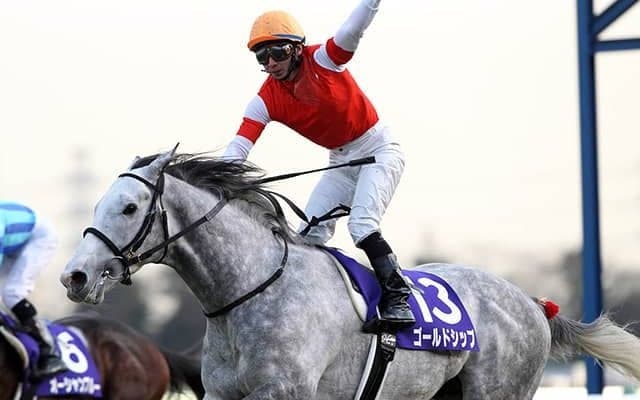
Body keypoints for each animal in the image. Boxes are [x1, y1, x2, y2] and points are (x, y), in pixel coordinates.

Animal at [60, 148, 640, 399]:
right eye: (98, 202)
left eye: (129, 207)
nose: (75, 277)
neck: (249, 293)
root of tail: (532, 303)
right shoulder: (225, 396)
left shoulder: (284, 394)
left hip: (499, 394)